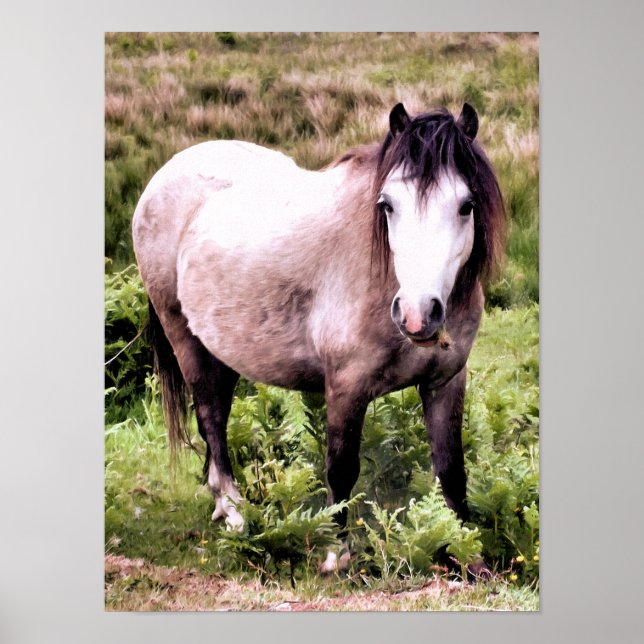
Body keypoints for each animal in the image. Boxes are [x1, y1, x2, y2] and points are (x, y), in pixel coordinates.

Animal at [132, 101, 505, 573]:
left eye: (466, 205)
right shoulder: (346, 386)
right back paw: (235, 513)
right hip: (184, 338)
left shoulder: (446, 382)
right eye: (388, 205)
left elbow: (451, 470)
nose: (418, 314)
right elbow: (341, 469)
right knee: (211, 420)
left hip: (223, 349)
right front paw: (335, 555)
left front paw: (466, 554)